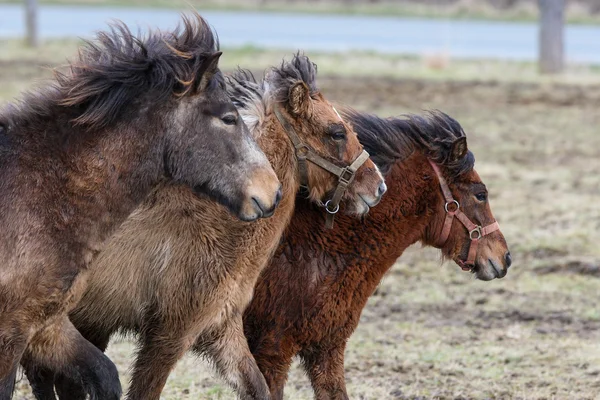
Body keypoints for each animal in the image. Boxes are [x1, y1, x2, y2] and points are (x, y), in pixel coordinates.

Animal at [0, 12, 282, 400]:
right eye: (228, 117)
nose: (272, 191)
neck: (43, 194)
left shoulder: (45, 324)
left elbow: (105, 375)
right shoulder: (11, 330)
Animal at [30, 54, 384, 400]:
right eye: (336, 132)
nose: (378, 186)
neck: (216, 223)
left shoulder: (223, 330)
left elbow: (258, 388)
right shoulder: (169, 335)